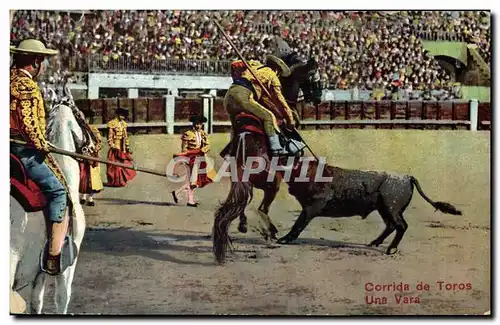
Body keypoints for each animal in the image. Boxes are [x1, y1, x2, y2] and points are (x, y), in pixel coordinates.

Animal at [10, 90, 93, 312]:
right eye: (82, 116)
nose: (94, 144)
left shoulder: (38, 274)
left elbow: (36, 303)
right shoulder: (67, 266)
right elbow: (62, 298)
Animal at [216, 56, 324, 264]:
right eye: (315, 79)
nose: (318, 99)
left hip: (240, 181)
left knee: (242, 202)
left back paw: (244, 225)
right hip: (273, 184)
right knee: (261, 208)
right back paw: (271, 233)